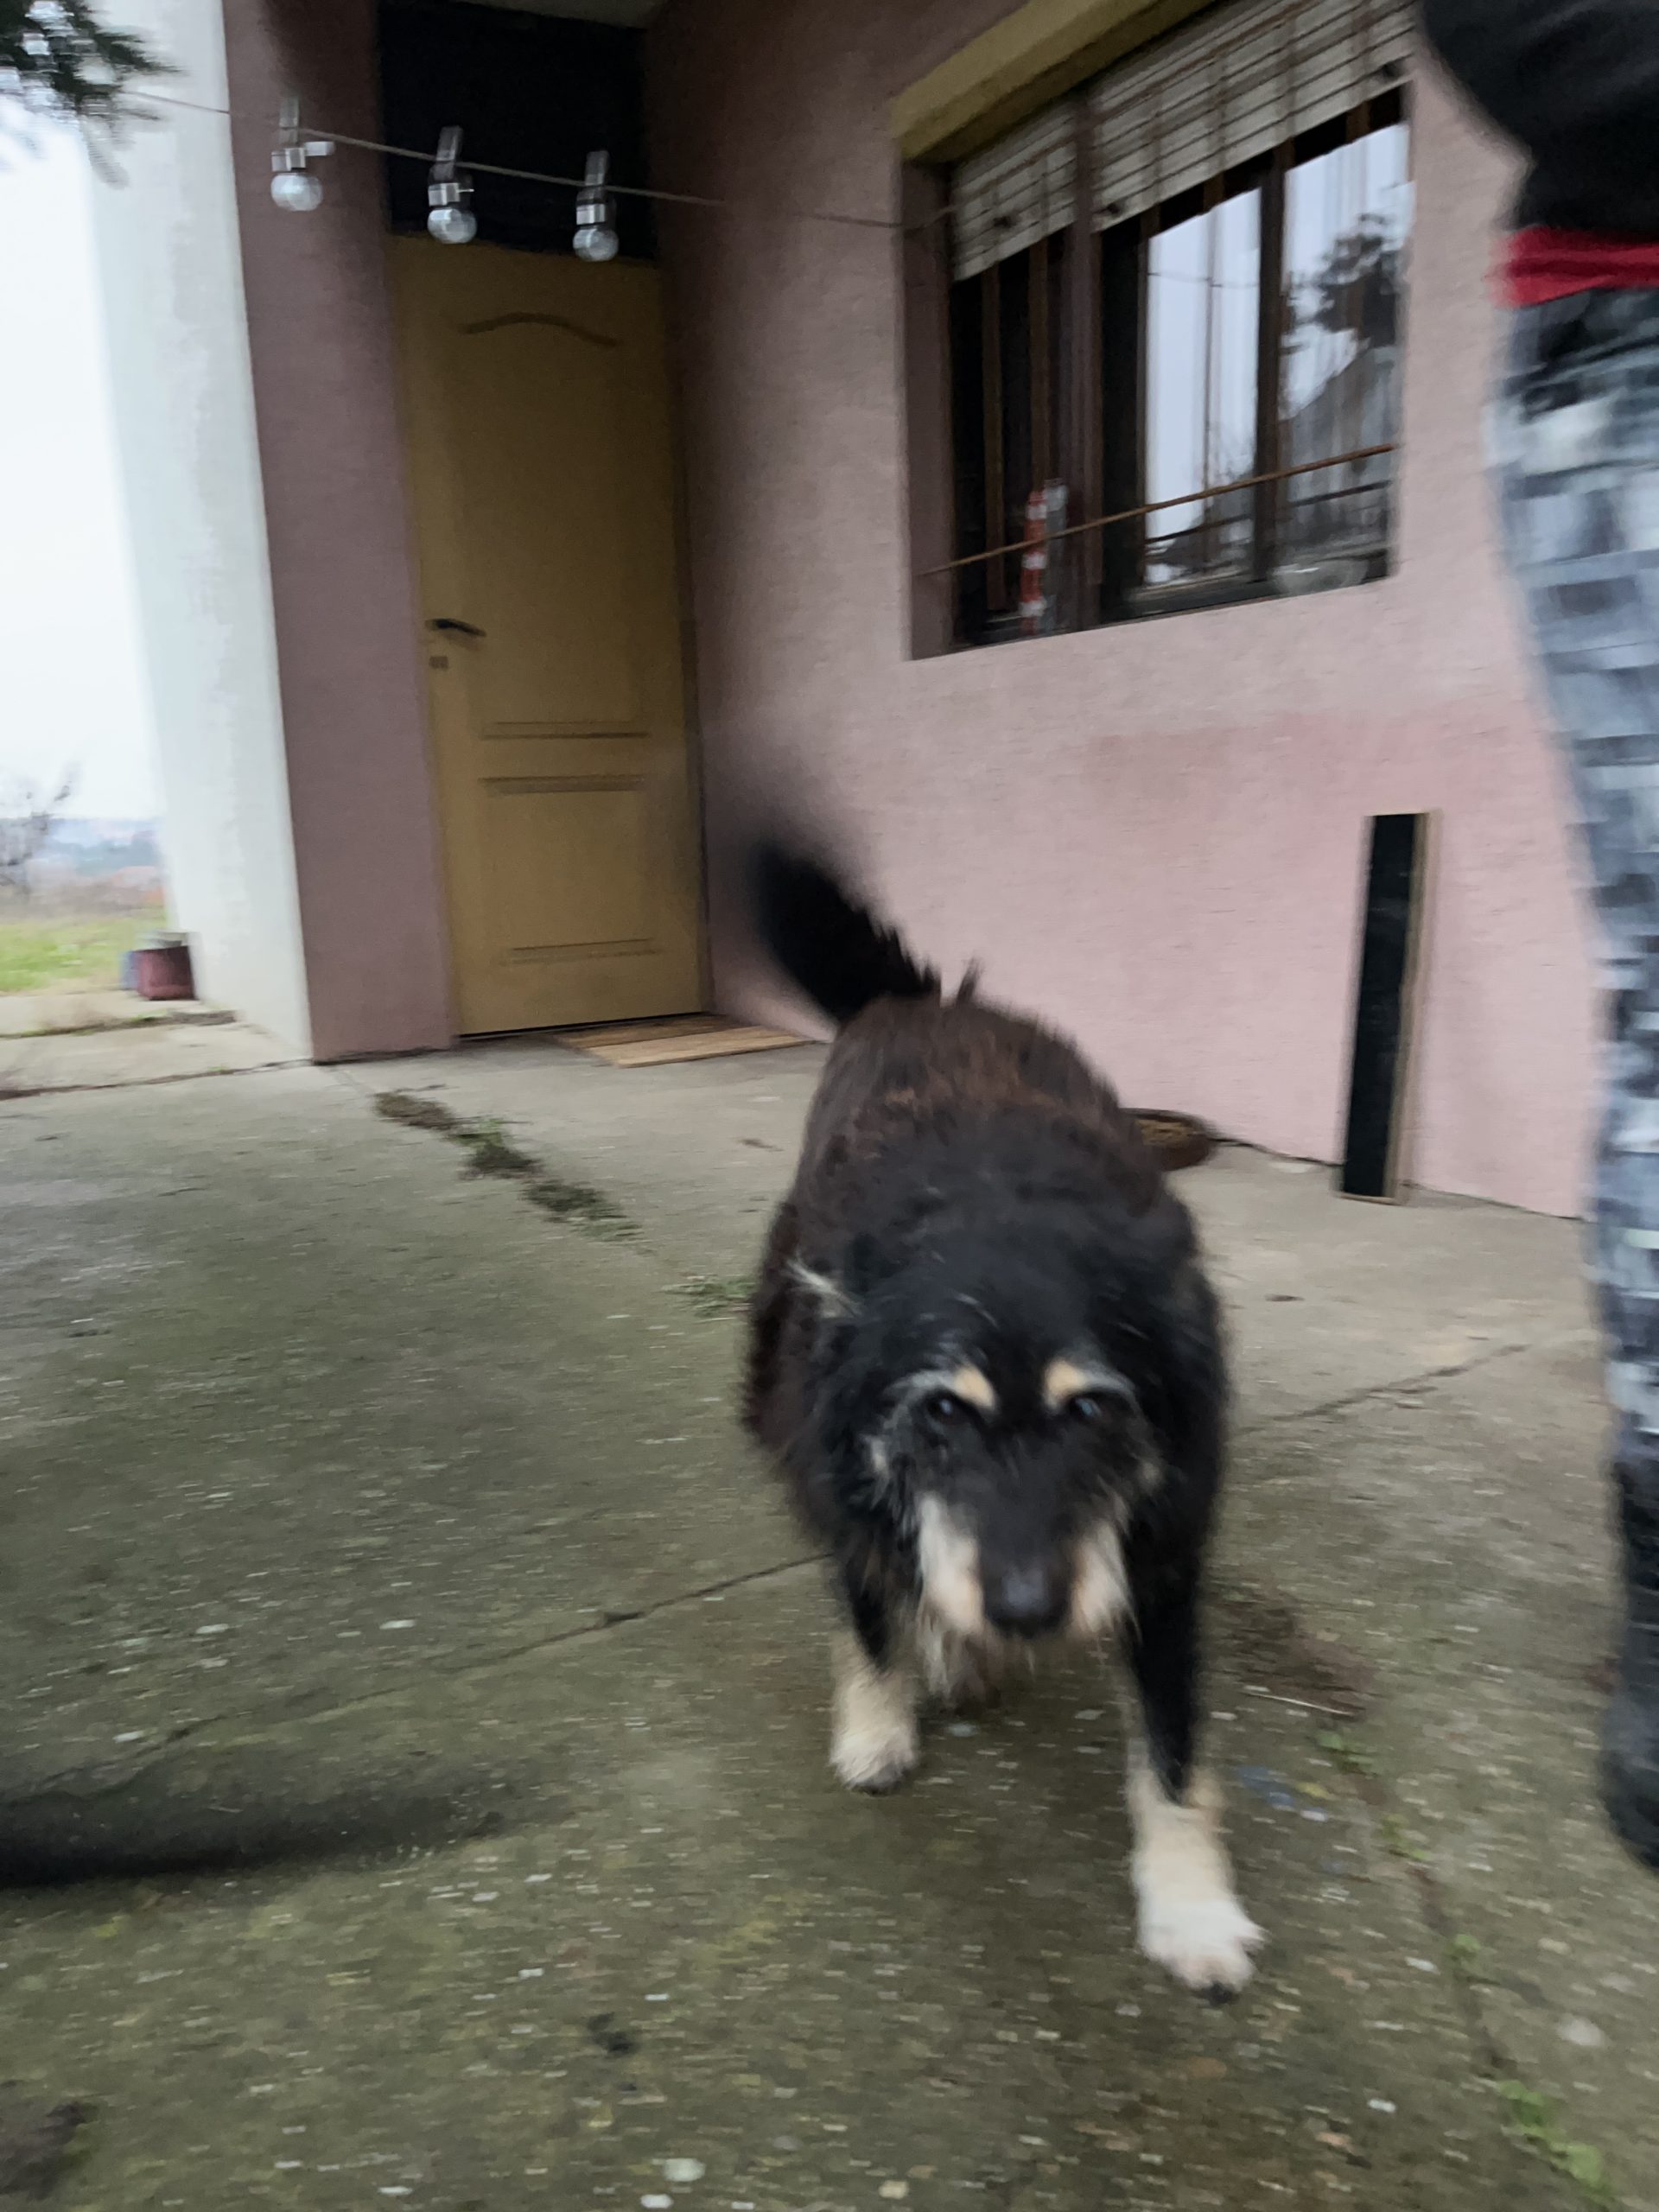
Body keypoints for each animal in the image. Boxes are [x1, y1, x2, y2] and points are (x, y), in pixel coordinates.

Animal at [742, 847, 1262, 1995]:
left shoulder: (1161, 1553)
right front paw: (879, 1723)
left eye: (1095, 1408)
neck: (997, 1209)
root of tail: (933, 1001)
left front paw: (1193, 1905)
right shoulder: (842, 1468)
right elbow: (870, 1612)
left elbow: (1173, 1745)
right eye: (942, 1409)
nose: (1026, 1610)